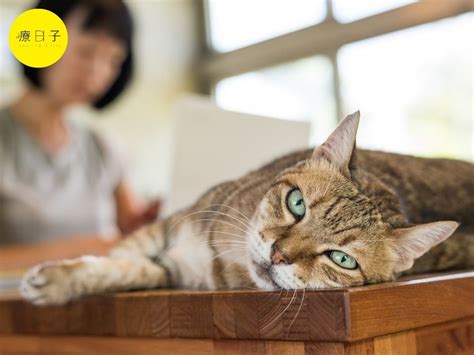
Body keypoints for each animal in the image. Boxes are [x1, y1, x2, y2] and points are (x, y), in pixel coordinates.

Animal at [21, 113, 474, 306]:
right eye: (296, 204)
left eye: (342, 259)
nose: (278, 255)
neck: (221, 254)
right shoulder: (165, 228)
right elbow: (118, 258)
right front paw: (62, 276)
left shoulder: (175, 272)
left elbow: (130, 271)